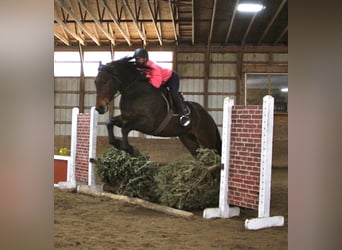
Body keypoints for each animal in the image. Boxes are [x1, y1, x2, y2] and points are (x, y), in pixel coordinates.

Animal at [93, 56, 222, 156]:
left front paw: (131, 149)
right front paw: (116, 143)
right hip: (189, 140)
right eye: (95, 82)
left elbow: (125, 129)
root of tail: (208, 116)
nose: (99, 108)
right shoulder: (125, 118)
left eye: (106, 82)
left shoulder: (147, 123)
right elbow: (110, 122)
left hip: (206, 141)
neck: (135, 92)